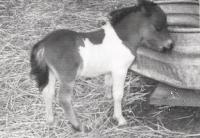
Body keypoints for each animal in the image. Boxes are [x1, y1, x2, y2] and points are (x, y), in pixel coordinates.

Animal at [30, 0, 173, 131]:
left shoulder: (109, 70)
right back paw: (77, 126)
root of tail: (44, 43)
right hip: (67, 78)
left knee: (47, 93)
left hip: (51, 73)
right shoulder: (120, 70)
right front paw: (120, 119)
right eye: (158, 27)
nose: (170, 45)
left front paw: (107, 98)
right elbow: (118, 94)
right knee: (64, 99)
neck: (122, 39)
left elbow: (108, 84)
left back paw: (50, 121)